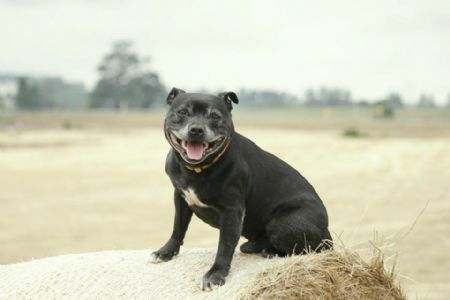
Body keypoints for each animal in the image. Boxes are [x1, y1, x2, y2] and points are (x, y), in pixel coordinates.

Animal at [151, 88, 330, 290]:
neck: (197, 169)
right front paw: (165, 252)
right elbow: (178, 228)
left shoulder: (232, 211)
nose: (196, 129)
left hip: (281, 223)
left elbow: (225, 245)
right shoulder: (180, 198)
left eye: (215, 116)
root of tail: (327, 230)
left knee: (311, 249)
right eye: (182, 112)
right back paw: (253, 246)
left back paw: (271, 252)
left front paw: (216, 274)